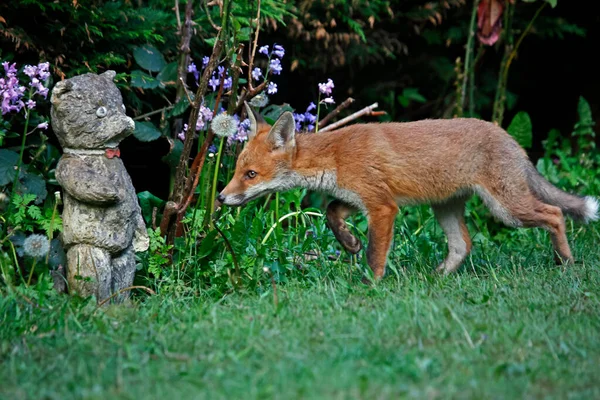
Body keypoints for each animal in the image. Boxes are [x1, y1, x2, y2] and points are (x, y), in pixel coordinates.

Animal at [218, 103, 596, 278]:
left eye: (250, 174)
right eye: (237, 171)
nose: (221, 197)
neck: (334, 156)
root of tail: (508, 136)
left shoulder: (383, 207)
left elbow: (375, 254)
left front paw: (370, 285)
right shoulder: (362, 198)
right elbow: (331, 212)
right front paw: (349, 243)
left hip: (507, 209)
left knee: (555, 213)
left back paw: (566, 262)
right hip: (445, 208)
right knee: (463, 244)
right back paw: (438, 277)